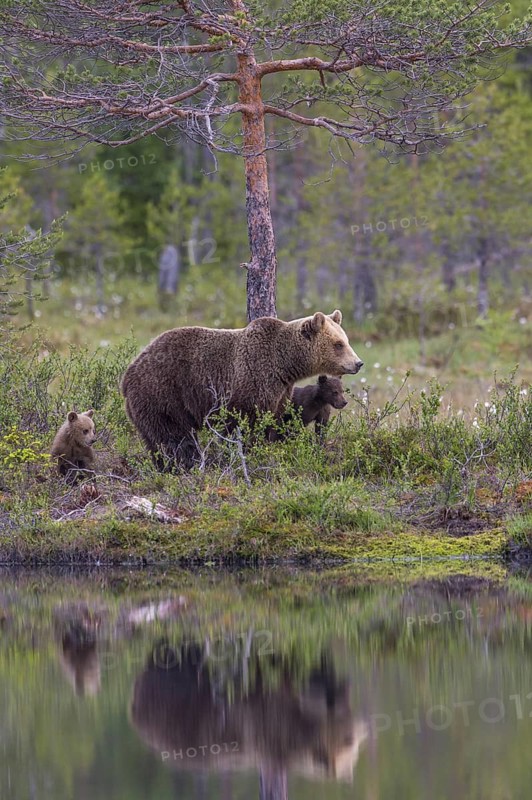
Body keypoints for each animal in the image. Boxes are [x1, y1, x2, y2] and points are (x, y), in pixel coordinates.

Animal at [121, 310, 363, 470]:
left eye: (346, 340)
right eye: (339, 344)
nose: (358, 363)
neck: (284, 365)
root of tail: (128, 372)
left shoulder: (281, 391)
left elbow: (272, 421)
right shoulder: (251, 381)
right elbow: (245, 424)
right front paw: (246, 453)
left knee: (155, 437)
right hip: (164, 393)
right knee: (174, 436)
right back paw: (184, 464)